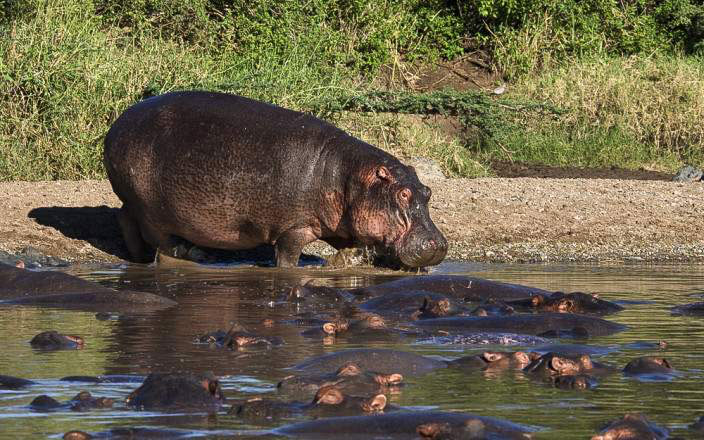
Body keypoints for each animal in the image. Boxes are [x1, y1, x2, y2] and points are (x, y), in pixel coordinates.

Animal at [104, 91, 446, 266]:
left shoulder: (344, 229)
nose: (439, 243)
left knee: (124, 219)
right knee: (160, 239)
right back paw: (196, 254)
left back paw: (137, 258)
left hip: (134, 200)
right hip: (152, 209)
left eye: (428, 191)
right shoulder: (293, 228)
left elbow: (347, 250)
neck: (349, 178)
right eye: (403, 194)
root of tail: (118, 123)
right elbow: (287, 260)